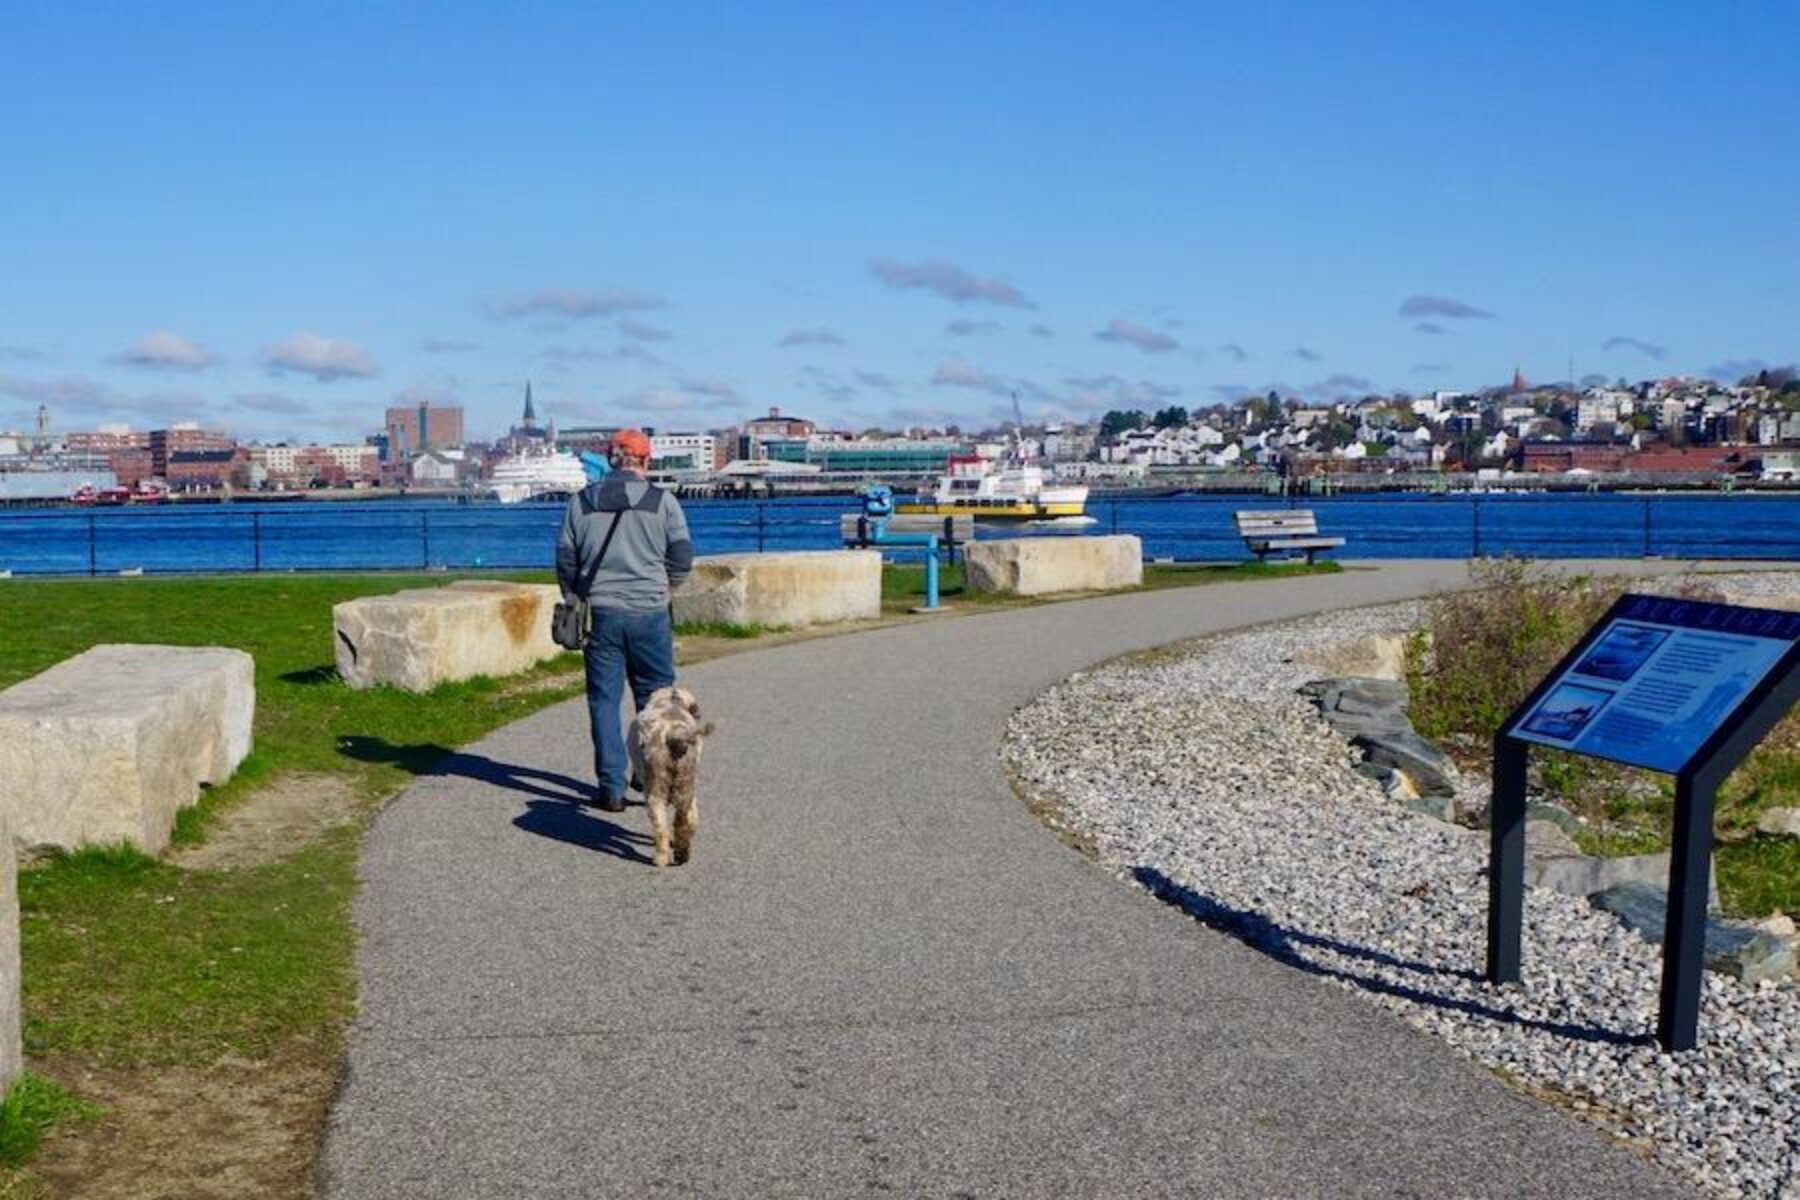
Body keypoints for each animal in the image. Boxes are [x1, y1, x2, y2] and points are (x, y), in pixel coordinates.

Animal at [630, 690, 712, 867]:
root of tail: (673, 735)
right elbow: (693, 820)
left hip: (655, 792)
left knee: (661, 829)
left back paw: (660, 858)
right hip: (685, 787)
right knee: (683, 822)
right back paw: (682, 853)